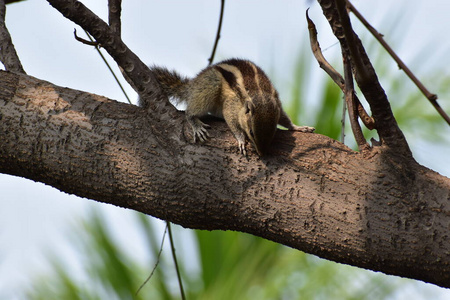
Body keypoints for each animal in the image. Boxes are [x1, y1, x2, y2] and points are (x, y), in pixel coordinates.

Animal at [146, 59, 314, 157]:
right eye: (251, 132)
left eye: (272, 132)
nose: (261, 154)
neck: (259, 95)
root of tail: (192, 86)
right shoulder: (232, 105)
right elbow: (232, 121)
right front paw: (241, 139)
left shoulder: (277, 104)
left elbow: (284, 118)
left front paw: (299, 127)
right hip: (209, 85)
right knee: (190, 111)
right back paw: (195, 123)